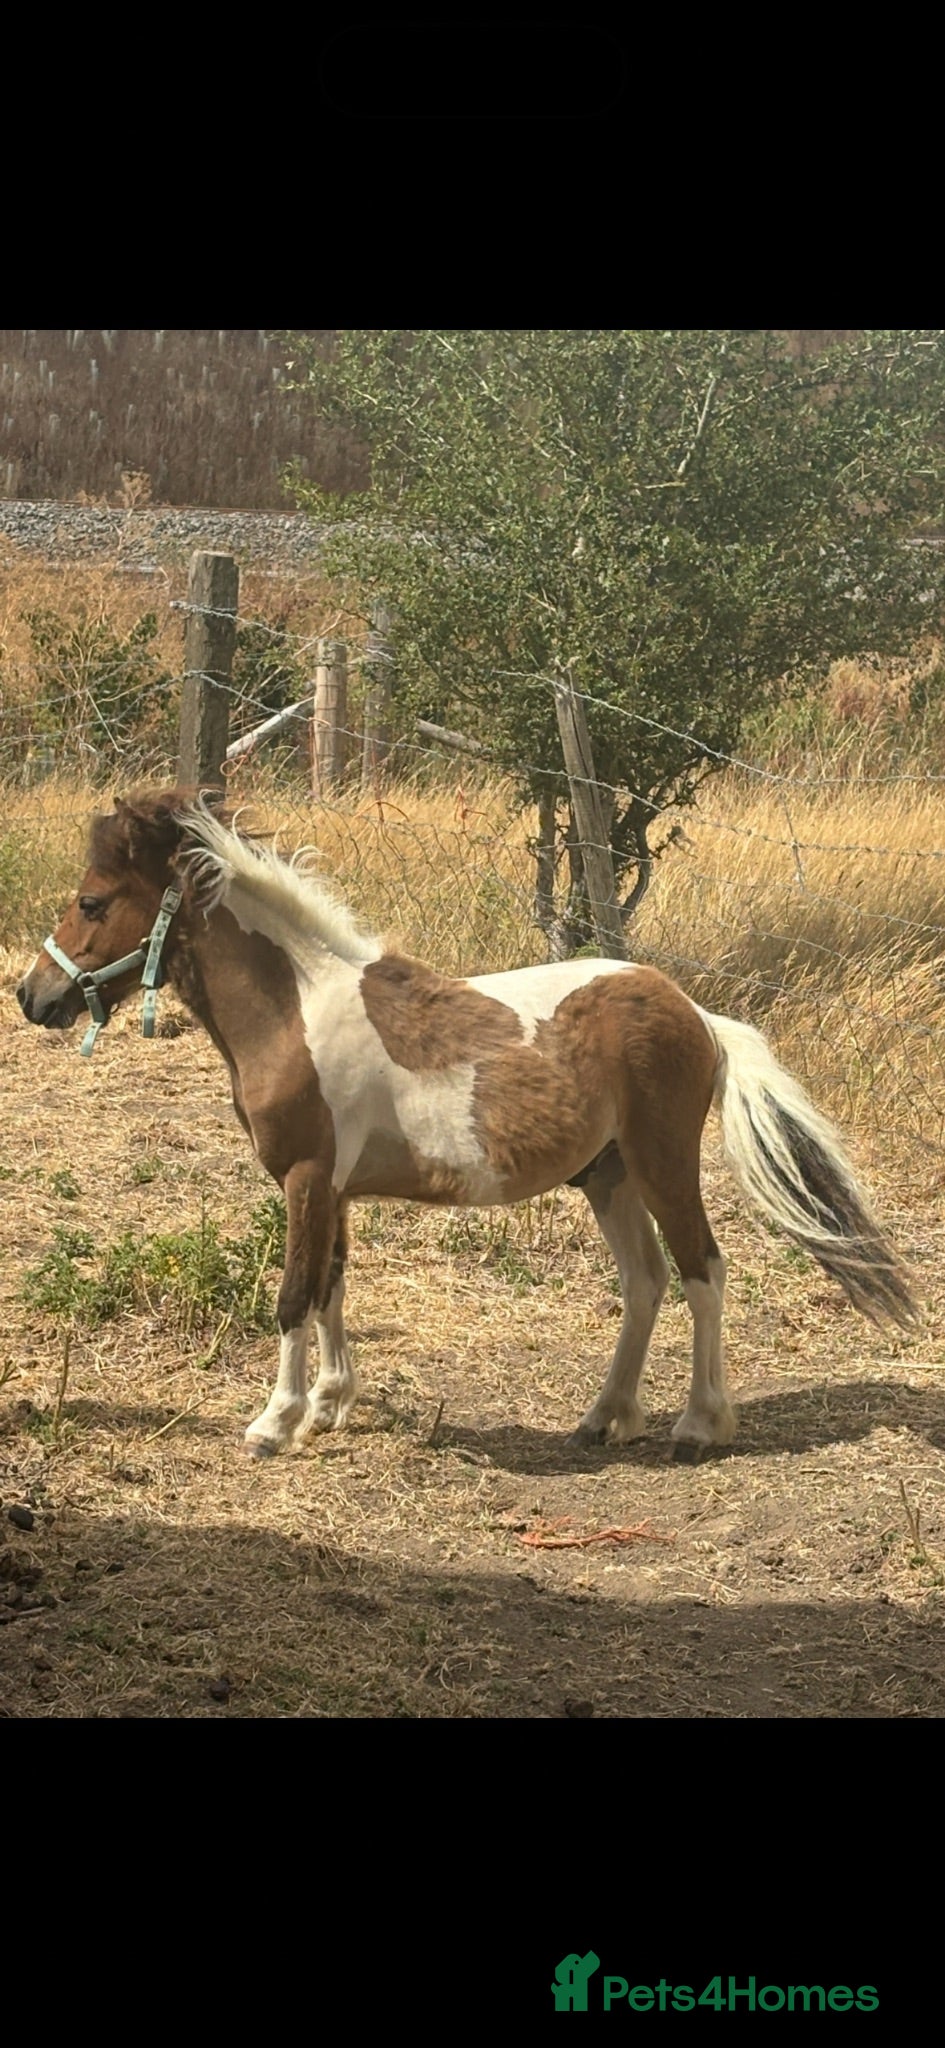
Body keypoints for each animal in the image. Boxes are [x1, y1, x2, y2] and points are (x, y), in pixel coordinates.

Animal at [16, 787, 918, 1461]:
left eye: (92, 901)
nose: (33, 996)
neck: (296, 1010)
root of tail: (696, 1013)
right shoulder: (334, 1188)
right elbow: (334, 1284)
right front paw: (331, 1405)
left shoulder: (307, 1178)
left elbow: (294, 1294)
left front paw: (275, 1422)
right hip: (608, 1177)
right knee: (644, 1280)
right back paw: (603, 1418)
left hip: (663, 1166)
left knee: (703, 1272)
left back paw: (698, 1425)